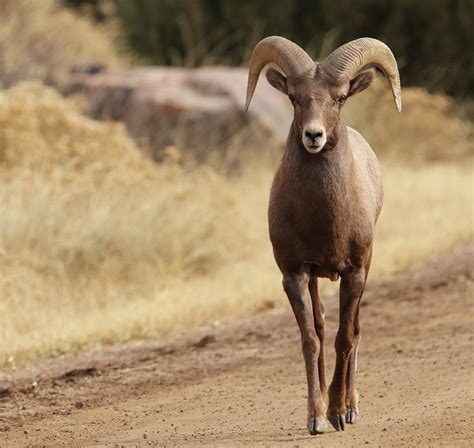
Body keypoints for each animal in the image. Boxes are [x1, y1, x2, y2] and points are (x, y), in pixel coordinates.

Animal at [246, 36, 402, 436]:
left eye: (340, 97)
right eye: (294, 97)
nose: (314, 136)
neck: (324, 217)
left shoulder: (354, 272)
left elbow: (344, 338)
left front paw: (338, 413)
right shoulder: (295, 274)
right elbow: (311, 339)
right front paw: (316, 418)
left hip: (364, 271)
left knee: (356, 332)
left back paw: (352, 407)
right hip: (317, 280)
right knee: (320, 326)